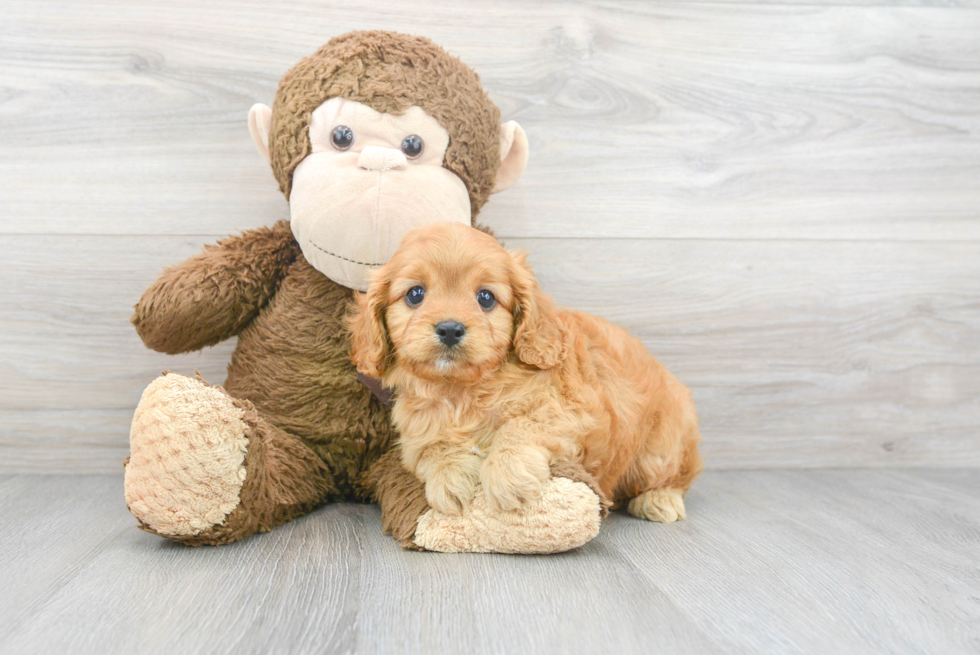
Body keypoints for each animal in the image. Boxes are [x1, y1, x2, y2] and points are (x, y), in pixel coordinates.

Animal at [348, 223, 700, 524]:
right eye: (415, 294)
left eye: (485, 298)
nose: (449, 329)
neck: (462, 391)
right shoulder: (417, 433)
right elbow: (436, 447)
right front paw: (449, 478)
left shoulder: (567, 410)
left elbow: (521, 426)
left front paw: (507, 474)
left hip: (659, 452)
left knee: (678, 477)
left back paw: (659, 500)